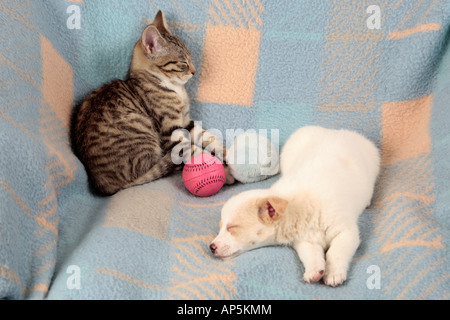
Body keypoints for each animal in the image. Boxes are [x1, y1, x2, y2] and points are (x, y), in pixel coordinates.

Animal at [72, 10, 234, 195]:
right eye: (183, 63)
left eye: (191, 58)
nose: (194, 71)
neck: (173, 86)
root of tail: (103, 185)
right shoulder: (171, 131)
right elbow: (193, 150)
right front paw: (225, 171)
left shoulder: (186, 121)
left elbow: (207, 136)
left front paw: (226, 153)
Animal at [209, 125, 378, 288]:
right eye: (221, 227)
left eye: (232, 228)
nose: (211, 247)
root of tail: (335, 131)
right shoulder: (305, 240)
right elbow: (310, 254)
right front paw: (314, 270)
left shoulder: (346, 232)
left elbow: (336, 252)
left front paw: (334, 273)